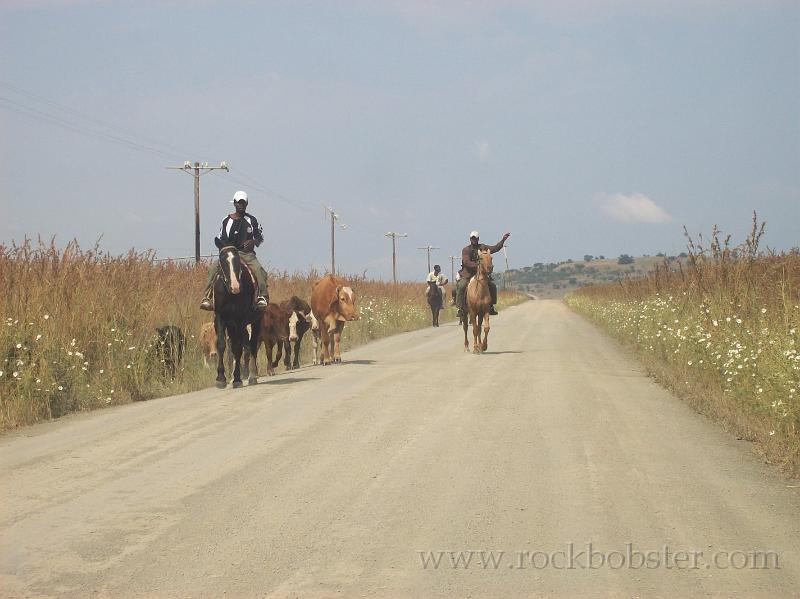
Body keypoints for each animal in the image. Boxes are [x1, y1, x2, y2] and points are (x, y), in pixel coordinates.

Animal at [212, 245, 262, 390]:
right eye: (222, 260)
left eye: (237, 260)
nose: (235, 287)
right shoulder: (220, 317)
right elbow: (221, 344)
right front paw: (221, 378)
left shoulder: (239, 319)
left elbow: (237, 348)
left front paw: (237, 379)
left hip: (255, 322)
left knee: (252, 345)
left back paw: (252, 376)